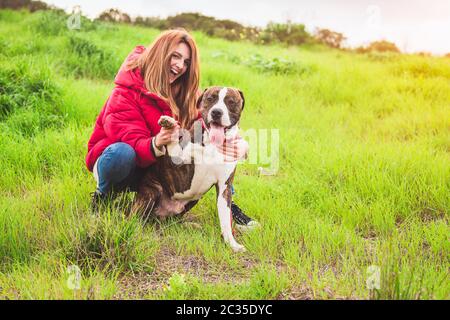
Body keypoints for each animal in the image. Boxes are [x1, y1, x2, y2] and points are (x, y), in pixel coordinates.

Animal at [132, 86, 248, 251]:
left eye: (231, 101)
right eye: (210, 98)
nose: (216, 112)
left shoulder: (224, 188)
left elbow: (226, 219)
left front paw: (232, 244)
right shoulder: (178, 157)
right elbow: (173, 141)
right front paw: (169, 125)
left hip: (191, 201)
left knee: (171, 221)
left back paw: (188, 225)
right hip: (151, 193)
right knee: (136, 217)